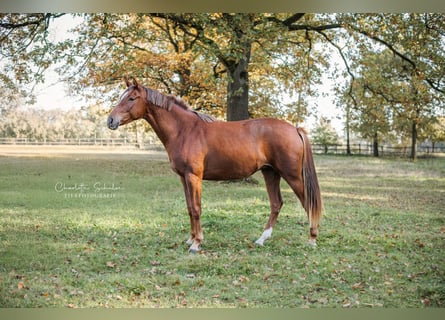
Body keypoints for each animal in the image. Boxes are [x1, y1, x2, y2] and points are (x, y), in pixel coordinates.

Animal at [107, 77, 322, 252]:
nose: (110, 120)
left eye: (132, 98)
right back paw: (262, 239)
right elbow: (189, 208)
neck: (185, 130)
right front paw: (190, 239)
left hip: (292, 176)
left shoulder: (194, 176)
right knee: (276, 203)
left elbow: (196, 208)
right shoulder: (183, 178)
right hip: (270, 173)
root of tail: (295, 129)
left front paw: (196, 243)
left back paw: (312, 240)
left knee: (307, 202)